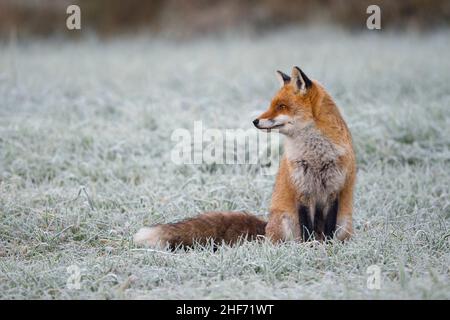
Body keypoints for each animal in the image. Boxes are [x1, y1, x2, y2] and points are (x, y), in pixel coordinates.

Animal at [134, 67, 356, 248]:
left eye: (282, 106)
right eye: (272, 104)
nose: (255, 121)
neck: (315, 155)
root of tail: (266, 228)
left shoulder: (333, 190)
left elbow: (327, 230)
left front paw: (327, 248)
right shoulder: (302, 191)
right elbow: (307, 230)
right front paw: (309, 249)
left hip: (344, 223)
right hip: (285, 221)